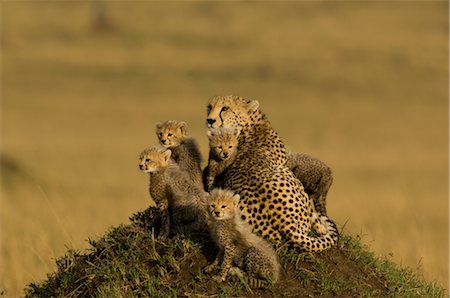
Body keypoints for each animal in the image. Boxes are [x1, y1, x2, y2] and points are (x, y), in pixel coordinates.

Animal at [206, 95, 340, 251]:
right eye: (210, 107)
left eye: (225, 108)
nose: (209, 120)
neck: (250, 125)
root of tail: (287, 226)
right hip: (298, 186)